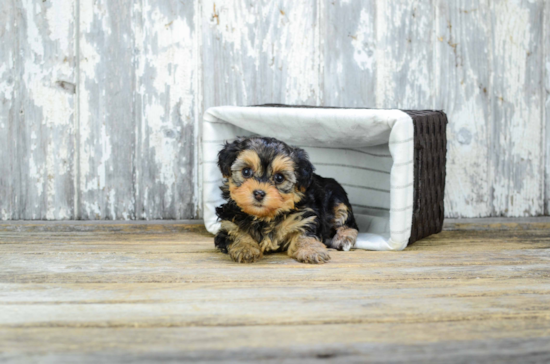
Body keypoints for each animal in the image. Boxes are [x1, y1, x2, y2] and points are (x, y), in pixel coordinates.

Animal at [213, 135, 360, 264]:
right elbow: (236, 232)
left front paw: (312, 250)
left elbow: (304, 234)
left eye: (279, 178)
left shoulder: (304, 217)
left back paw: (344, 239)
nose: (259, 193)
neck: (264, 217)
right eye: (246, 171)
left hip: (338, 202)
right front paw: (245, 248)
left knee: (349, 224)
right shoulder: (228, 222)